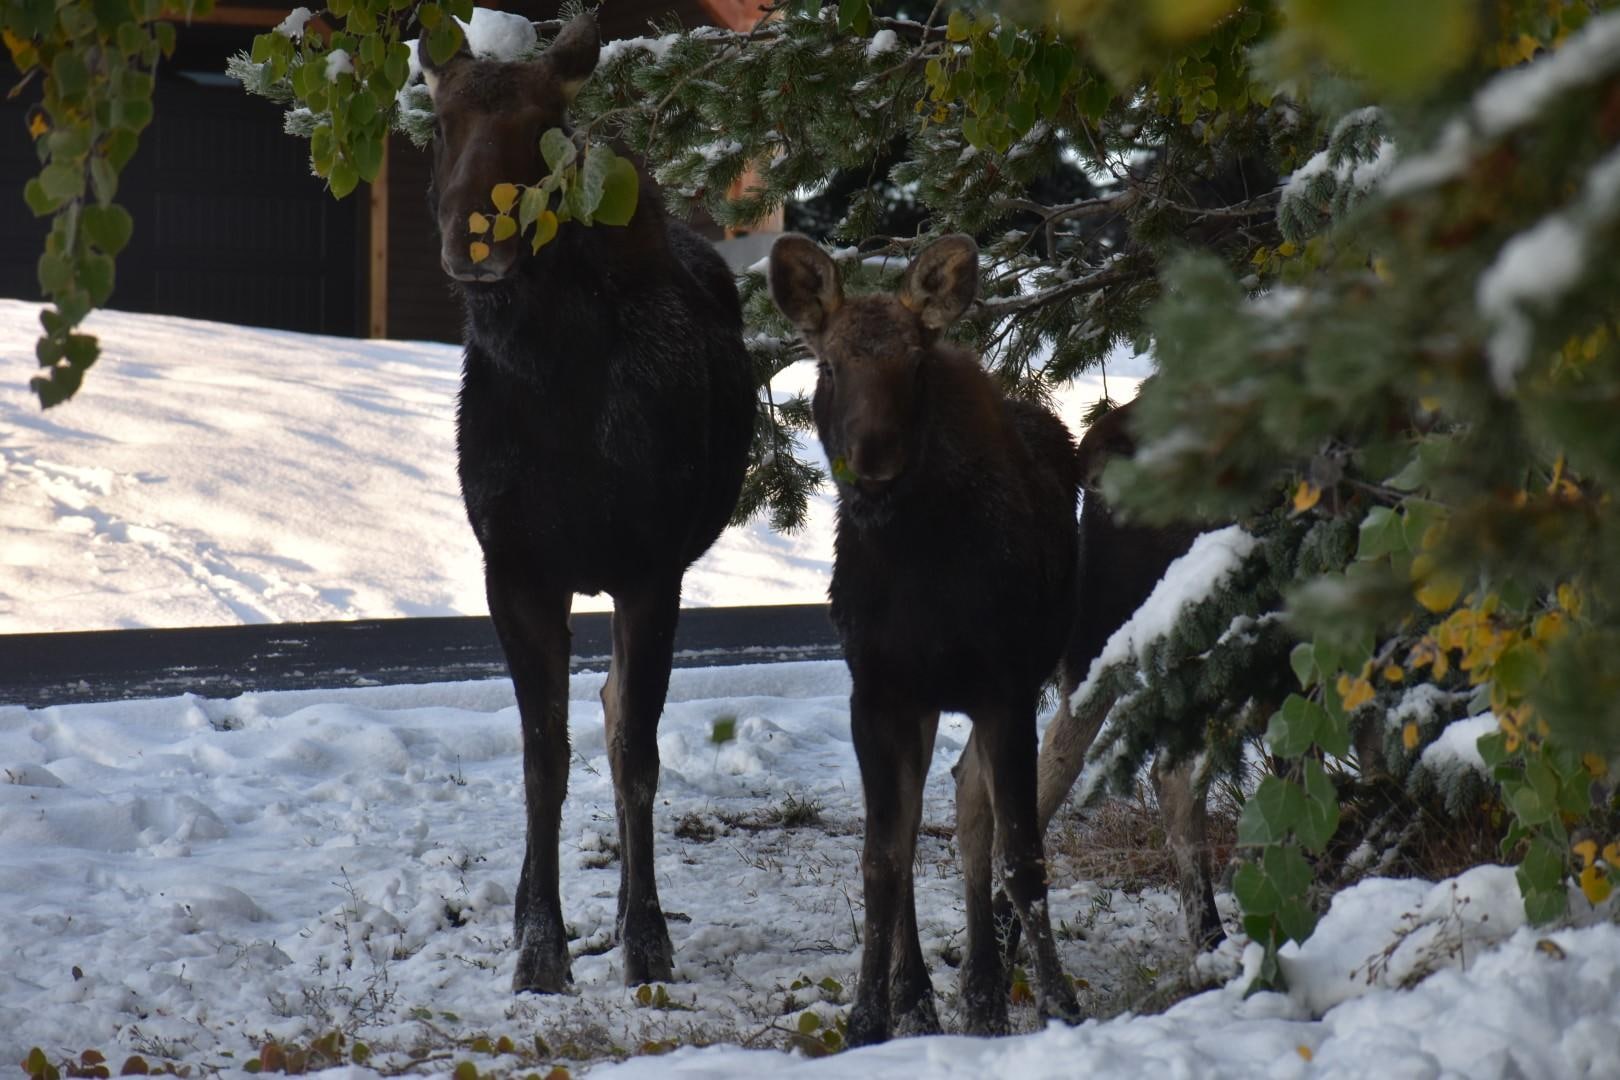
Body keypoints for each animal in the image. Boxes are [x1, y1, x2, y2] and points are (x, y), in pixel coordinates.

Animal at [418, 14, 755, 993]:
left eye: (544, 129)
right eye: (440, 125)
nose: (477, 237)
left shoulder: (651, 565)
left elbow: (634, 752)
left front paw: (645, 937)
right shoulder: (514, 564)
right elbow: (542, 757)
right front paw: (539, 943)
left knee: (610, 714)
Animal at [769, 232, 1085, 1044]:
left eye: (913, 362)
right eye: (829, 364)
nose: (872, 454)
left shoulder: (1005, 686)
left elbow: (1023, 855)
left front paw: (1059, 1002)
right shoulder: (879, 691)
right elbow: (884, 854)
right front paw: (868, 1016)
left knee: (972, 808)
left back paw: (982, 993)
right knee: (923, 820)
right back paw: (923, 996)